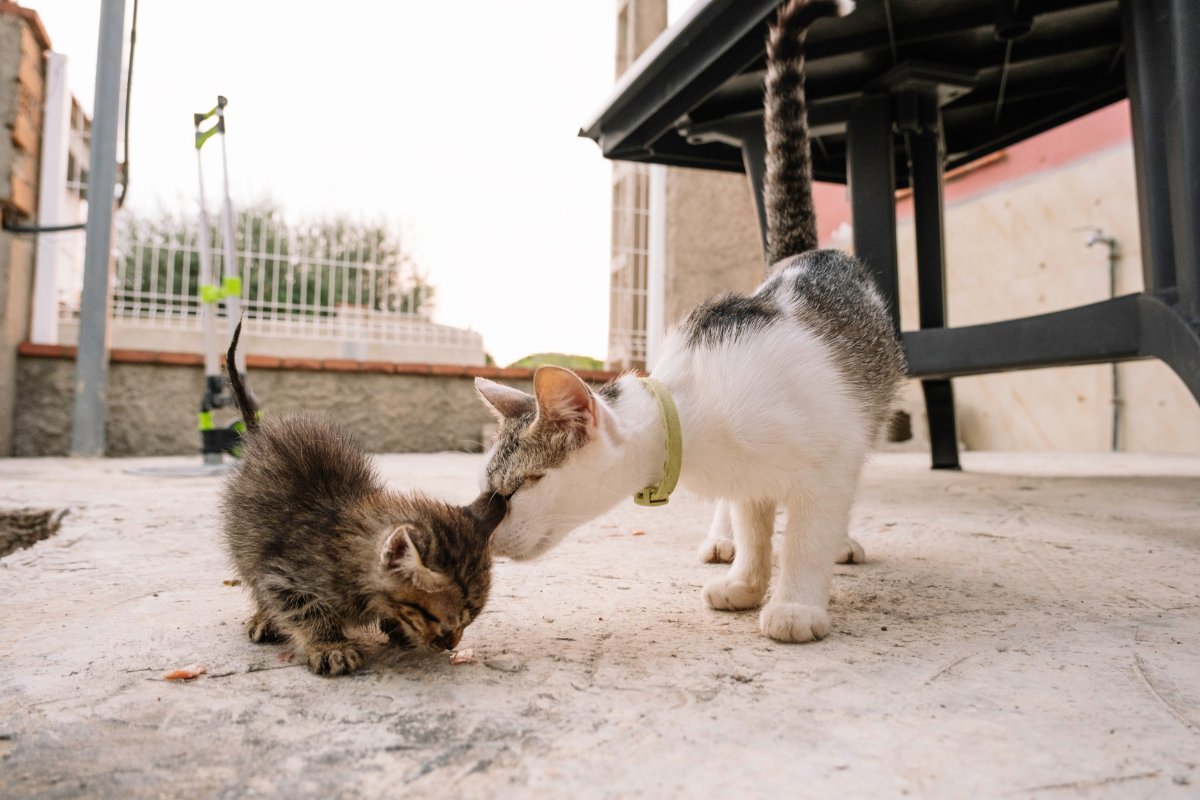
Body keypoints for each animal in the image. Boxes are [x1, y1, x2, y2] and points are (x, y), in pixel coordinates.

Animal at [222, 321, 506, 676]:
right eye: (436, 618)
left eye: (467, 622)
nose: (451, 645)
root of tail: (261, 434)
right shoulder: (281, 574)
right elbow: (305, 610)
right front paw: (330, 645)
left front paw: (394, 626)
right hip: (245, 539)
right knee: (252, 575)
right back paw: (264, 617)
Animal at [470, 0, 902, 642]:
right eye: (490, 490)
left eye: (522, 485)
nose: (489, 542)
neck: (696, 416)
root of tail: (805, 253)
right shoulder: (751, 477)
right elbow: (754, 523)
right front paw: (748, 581)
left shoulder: (828, 459)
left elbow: (809, 532)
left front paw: (795, 603)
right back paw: (724, 543)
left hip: (867, 414)